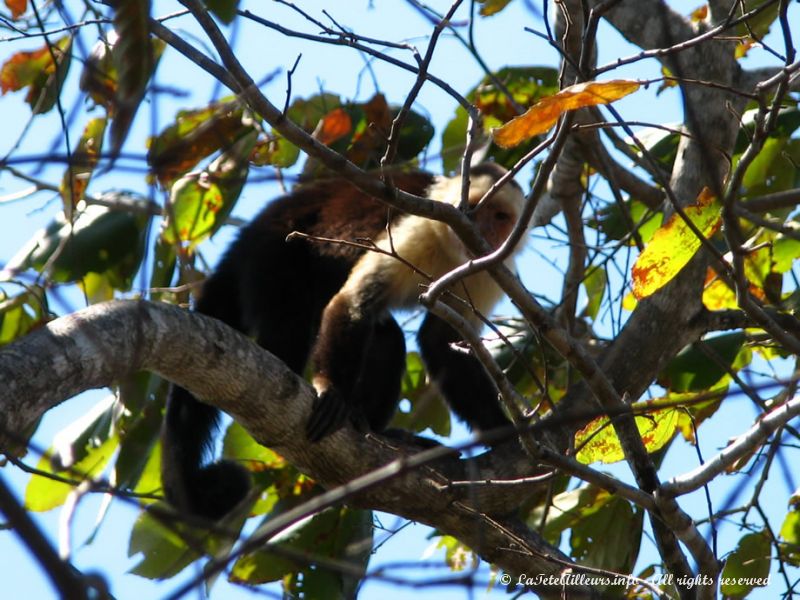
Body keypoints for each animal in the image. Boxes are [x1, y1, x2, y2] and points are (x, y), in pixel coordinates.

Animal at [160, 164, 528, 520]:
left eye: (500, 217)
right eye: (471, 209)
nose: (480, 229)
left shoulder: (490, 266)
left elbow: (441, 340)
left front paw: (501, 430)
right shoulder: (421, 227)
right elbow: (354, 303)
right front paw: (333, 390)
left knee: (386, 340)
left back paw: (377, 431)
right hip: (273, 253)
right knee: (290, 324)